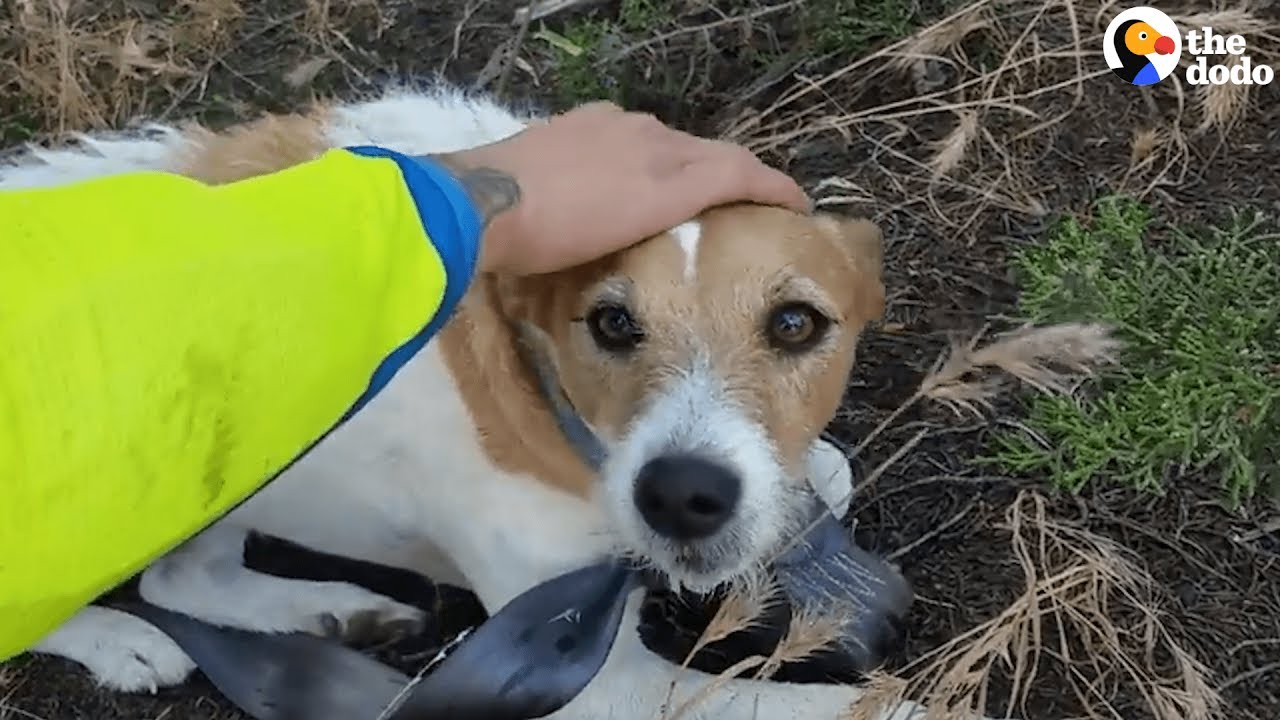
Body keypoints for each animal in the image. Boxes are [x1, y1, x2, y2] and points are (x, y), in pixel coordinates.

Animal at [5, 85, 952, 717]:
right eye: (611, 322)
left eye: (795, 323)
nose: (684, 494)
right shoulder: (602, 684)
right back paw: (117, 641)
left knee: (179, 578)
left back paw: (327, 613)